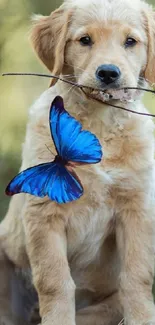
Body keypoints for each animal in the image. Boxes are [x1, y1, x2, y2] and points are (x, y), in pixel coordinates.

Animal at [0, 0, 155, 322]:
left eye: (130, 41)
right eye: (85, 40)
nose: (108, 73)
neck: (100, 121)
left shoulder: (137, 208)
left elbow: (137, 276)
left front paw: (142, 319)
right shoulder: (44, 213)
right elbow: (55, 280)